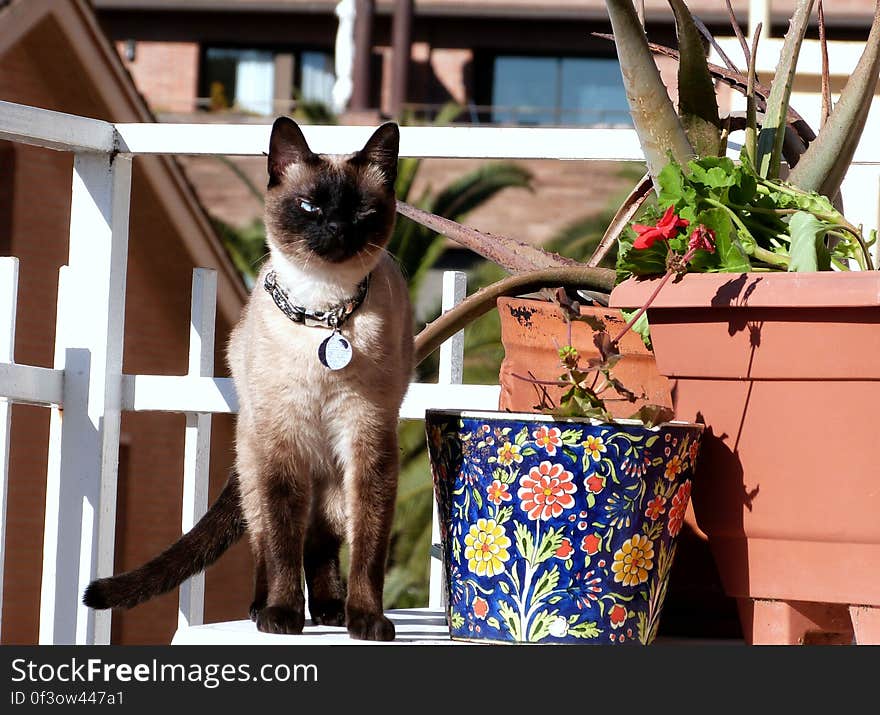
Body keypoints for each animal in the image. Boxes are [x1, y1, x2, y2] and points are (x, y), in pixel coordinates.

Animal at [82, 117, 412, 644]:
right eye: (310, 206)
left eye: (362, 211)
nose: (336, 230)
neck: (324, 315)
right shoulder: (280, 445)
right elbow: (279, 544)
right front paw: (281, 616)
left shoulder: (368, 441)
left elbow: (368, 548)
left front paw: (366, 621)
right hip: (258, 460)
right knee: (267, 538)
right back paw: (264, 610)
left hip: (332, 478)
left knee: (320, 541)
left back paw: (330, 610)